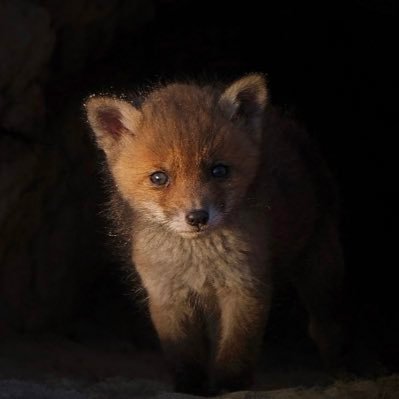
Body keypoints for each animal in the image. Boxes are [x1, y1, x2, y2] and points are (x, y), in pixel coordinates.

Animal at [85, 75, 346, 396]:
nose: (197, 217)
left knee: (325, 326)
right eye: (159, 178)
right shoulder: (167, 294)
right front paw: (191, 387)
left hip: (320, 267)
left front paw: (229, 387)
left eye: (218, 170)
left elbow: (236, 349)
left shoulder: (245, 287)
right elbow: (185, 353)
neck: (199, 259)